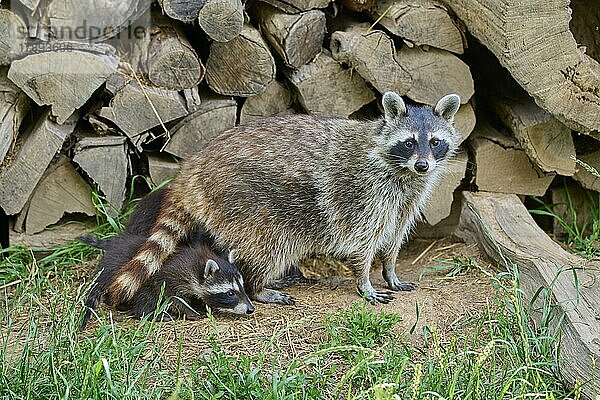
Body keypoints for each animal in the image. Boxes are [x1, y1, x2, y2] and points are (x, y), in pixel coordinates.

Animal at [108, 94, 462, 304]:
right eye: (409, 142)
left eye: (434, 142)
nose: (423, 164)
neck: (402, 171)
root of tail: (194, 166)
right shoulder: (365, 192)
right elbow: (363, 241)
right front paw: (364, 282)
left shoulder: (407, 198)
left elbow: (394, 237)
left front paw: (390, 271)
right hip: (242, 198)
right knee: (271, 244)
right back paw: (257, 286)